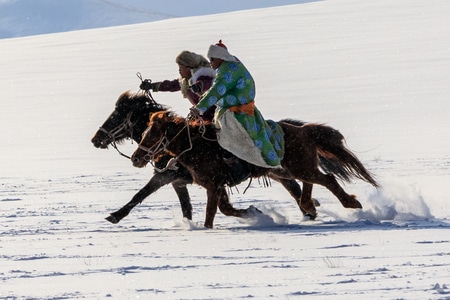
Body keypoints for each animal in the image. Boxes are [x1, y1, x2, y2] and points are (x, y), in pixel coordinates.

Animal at [132, 111, 378, 229]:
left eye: (152, 133)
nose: (135, 158)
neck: (197, 147)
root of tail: (303, 130)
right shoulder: (218, 186)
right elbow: (225, 209)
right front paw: (254, 213)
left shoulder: (213, 185)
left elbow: (213, 213)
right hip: (289, 170)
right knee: (313, 182)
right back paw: (308, 205)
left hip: (299, 168)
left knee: (328, 179)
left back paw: (351, 203)